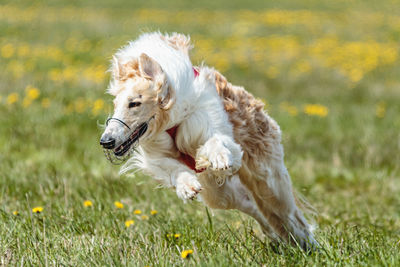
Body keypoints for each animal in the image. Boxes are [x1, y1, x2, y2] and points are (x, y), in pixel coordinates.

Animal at [101, 32, 318, 250]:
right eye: (115, 104)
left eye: (134, 103)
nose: (106, 141)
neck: (171, 119)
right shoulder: (155, 156)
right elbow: (171, 168)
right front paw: (187, 187)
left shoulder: (218, 133)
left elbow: (216, 141)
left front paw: (218, 158)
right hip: (220, 195)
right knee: (255, 208)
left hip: (268, 180)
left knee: (290, 216)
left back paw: (309, 244)